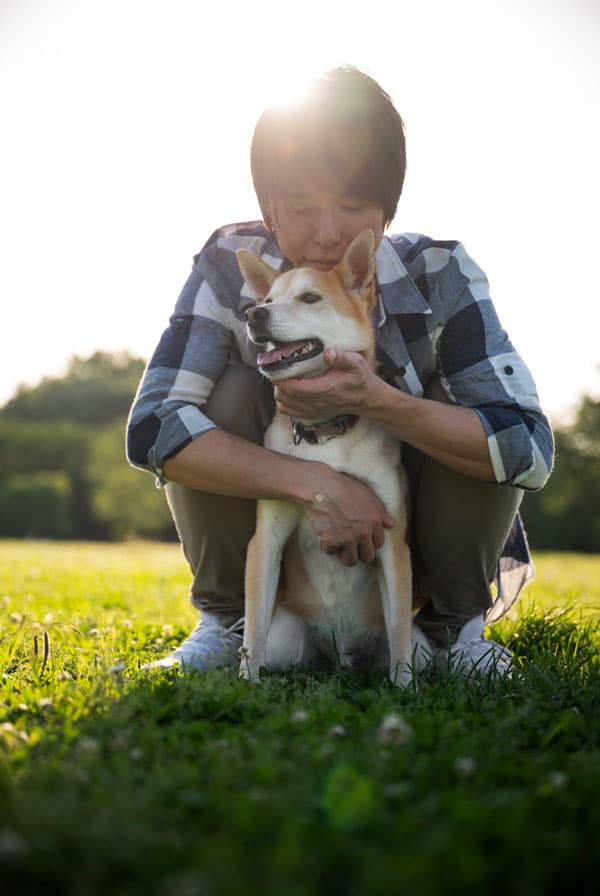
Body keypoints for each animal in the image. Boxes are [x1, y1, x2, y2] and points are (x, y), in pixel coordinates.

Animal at [234, 229, 412, 688]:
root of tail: (340, 657)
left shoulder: (393, 542)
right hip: (288, 635)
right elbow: (253, 622)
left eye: (310, 298)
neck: (324, 431)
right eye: (267, 299)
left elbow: (400, 628)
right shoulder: (267, 538)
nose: (253, 314)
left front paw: (406, 690)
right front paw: (246, 682)